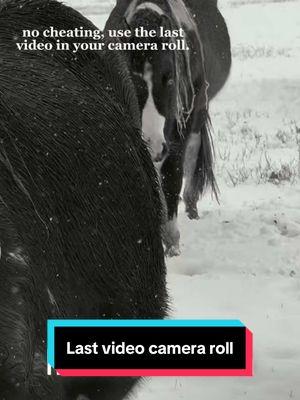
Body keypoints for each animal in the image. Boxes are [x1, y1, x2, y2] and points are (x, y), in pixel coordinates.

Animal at [106, 0, 232, 256]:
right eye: (130, 80)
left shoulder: (178, 134)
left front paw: (172, 243)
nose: (154, 145)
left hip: (196, 116)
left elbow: (172, 177)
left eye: (170, 79)